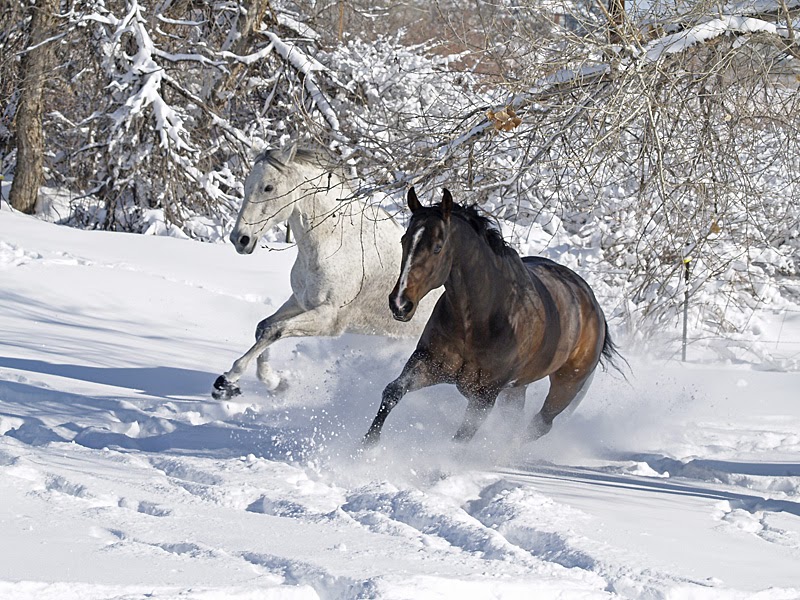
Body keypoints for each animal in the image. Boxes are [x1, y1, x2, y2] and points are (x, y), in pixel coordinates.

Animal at [212, 144, 441, 399]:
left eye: (268, 187)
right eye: (246, 185)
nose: (239, 239)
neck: (333, 242)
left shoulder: (329, 318)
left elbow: (275, 331)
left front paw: (227, 381)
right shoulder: (302, 302)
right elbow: (262, 327)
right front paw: (276, 383)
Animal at [363, 187, 620, 445]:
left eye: (437, 246)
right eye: (404, 241)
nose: (399, 304)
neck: (480, 320)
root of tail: (594, 307)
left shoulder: (484, 396)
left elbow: (461, 438)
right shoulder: (428, 363)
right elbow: (393, 392)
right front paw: (367, 446)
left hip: (565, 387)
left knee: (539, 425)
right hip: (515, 389)